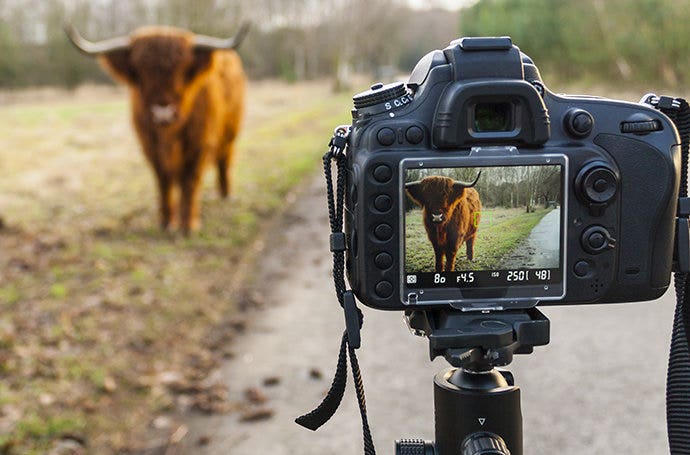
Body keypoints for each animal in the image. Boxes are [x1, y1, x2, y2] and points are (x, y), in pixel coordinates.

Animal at [65, 22, 250, 233]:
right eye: (140, 70)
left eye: (183, 69)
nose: (163, 113)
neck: (169, 136)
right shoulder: (151, 148)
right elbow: (163, 181)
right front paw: (167, 222)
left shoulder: (198, 145)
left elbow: (190, 181)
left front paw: (188, 225)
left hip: (230, 134)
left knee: (224, 161)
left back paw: (226, 195)